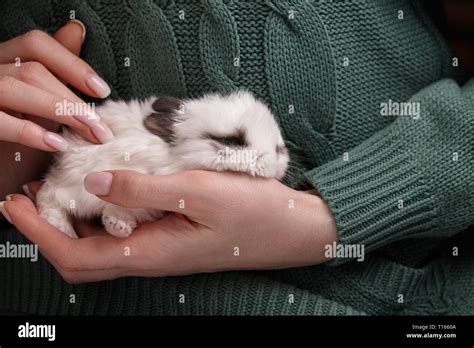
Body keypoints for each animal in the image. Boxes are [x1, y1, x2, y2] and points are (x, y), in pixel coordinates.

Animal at [37, 89, 288, 238]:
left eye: (278, 146)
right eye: (233, 140)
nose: (276, 160)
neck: (173, 156)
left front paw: (118, 227)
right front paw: (118, 227)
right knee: (47, 196)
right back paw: (62, 229)